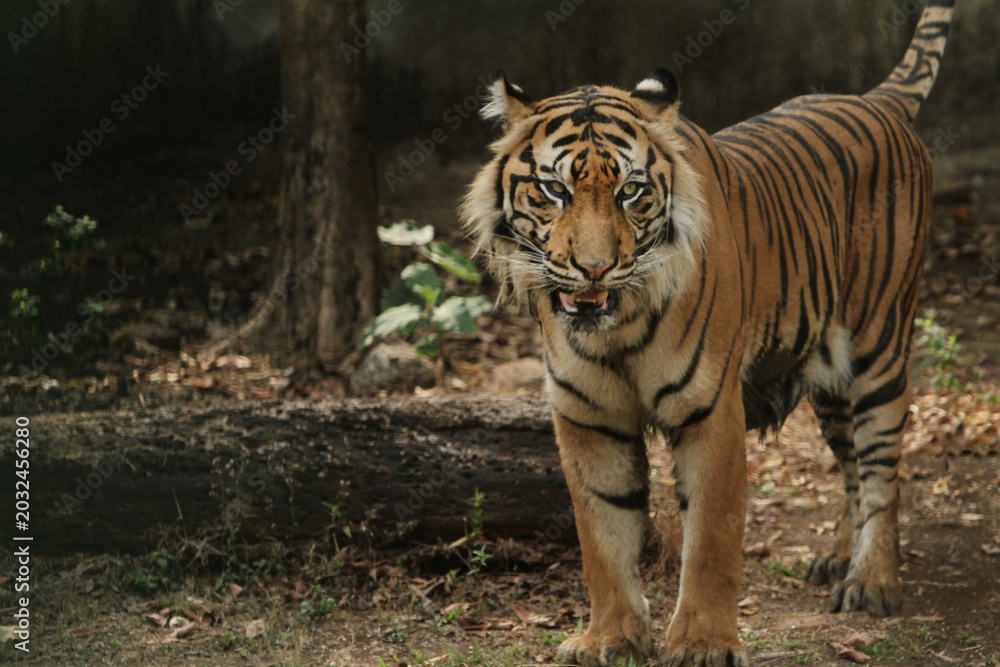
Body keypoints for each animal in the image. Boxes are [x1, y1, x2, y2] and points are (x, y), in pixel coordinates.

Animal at [461, 2, 954, 666]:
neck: (616, 327)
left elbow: (711, 540)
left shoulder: (710, 409)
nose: (594, 267)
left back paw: (871, 581)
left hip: (878, 347)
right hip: (827, 377)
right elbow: (602, 537)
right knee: (851, 462)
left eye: (631, 191)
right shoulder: (587, 418)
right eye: (554, 189)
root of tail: (875, 99)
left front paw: (702, 643)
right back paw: (836, 558)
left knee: (881, 469)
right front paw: (609, 637)